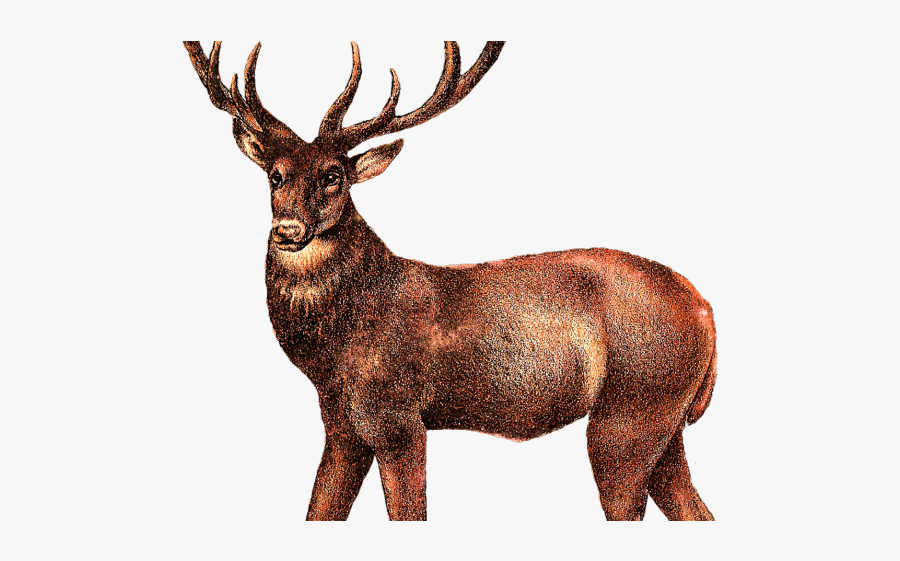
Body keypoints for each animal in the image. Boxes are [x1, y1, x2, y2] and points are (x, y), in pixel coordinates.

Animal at [184, 40, 717, 521]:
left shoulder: (396, 417)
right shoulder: (341, 424)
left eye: (334, 175)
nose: (289, 229)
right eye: (275, 176)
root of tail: (706, 310)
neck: (334, 349)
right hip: (664, 422)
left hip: (632, 411)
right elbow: (321, 509)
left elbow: (407, 511)